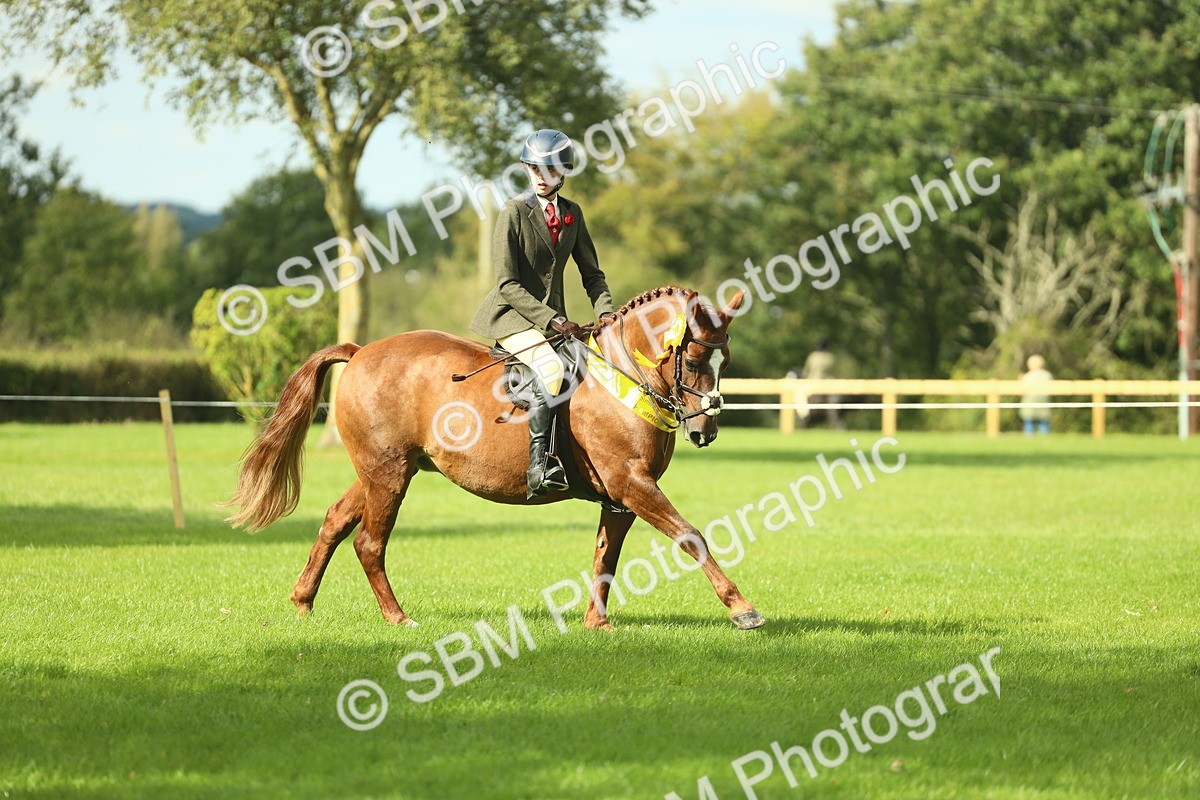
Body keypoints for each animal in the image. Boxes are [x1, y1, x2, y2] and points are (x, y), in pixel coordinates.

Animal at [227, 285, 765, 631]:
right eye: (693, 360)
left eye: (727, 361)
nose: (704, 430)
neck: (622, 377)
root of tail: (360, 351)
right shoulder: (632, 483)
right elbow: (691, 536)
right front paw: (742, 609)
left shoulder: (621, 495)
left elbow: (605, 556)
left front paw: (596, 623)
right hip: (389, 473)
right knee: (369, 543)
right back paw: (398, 618)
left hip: (386, 469)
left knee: (336, 520)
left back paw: (302, 603)